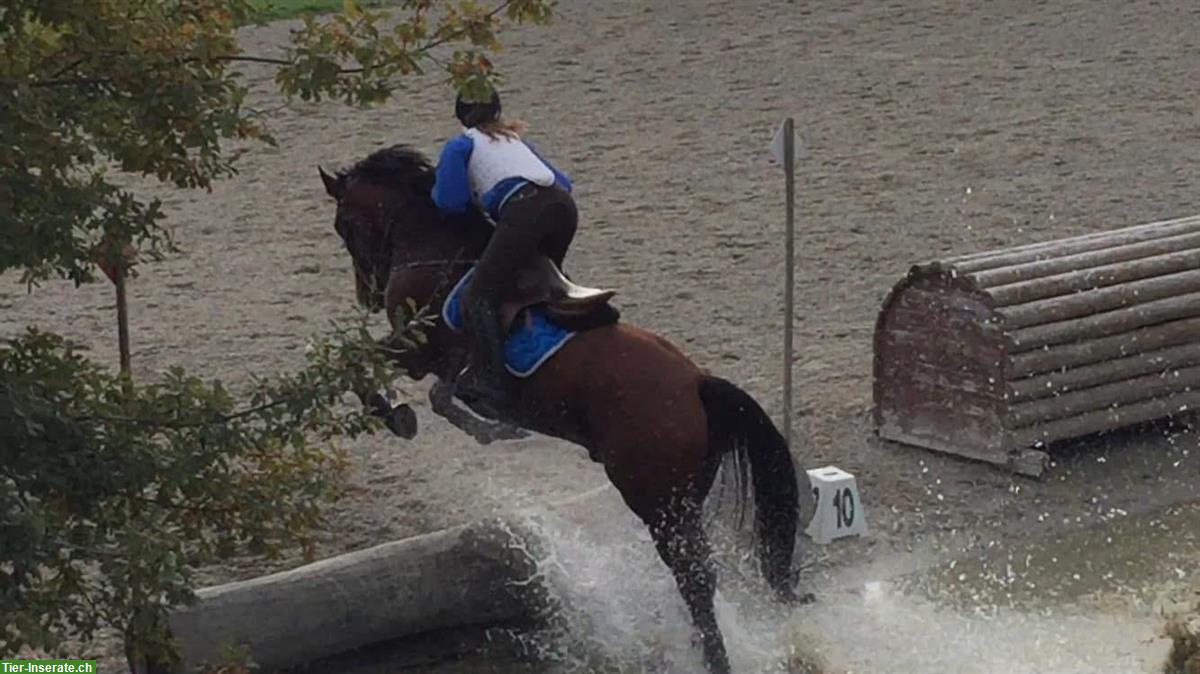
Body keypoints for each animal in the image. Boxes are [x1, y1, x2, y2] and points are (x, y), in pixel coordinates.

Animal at [319, 145, 808, 674]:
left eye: (343, 224)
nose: (367, 295)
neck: (431, 243)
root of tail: (698, 382)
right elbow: (433, 393)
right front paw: (480, 425)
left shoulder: (416, 350)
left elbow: (359, 364)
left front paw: (397, 416)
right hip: (684, 494)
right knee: (698, 579)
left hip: (656, 498)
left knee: (694, 578)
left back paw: (713, 659)